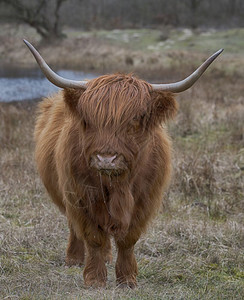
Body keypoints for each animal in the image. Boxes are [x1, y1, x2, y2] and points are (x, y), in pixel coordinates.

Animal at [24, 39, 223, 286]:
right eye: (87, 120)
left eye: (135, 119)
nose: (106, 158)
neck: (117, 185)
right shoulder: (80, 196)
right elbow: (93, 237)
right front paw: (95, 280)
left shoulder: (144, 201)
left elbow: (128, 239)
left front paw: (127, 279)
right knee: (75, 228)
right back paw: (74, 258)